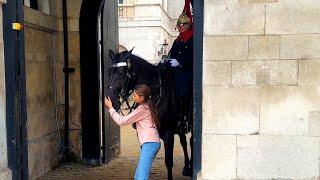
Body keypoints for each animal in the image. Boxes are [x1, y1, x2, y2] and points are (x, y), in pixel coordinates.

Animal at [107, 48, 192, 179]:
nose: (111, 101)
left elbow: (169, 162)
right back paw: (187, 167)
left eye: (122, 73)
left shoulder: (168, 133)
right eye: (108, 72)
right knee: (184, 141)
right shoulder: (142, 134)